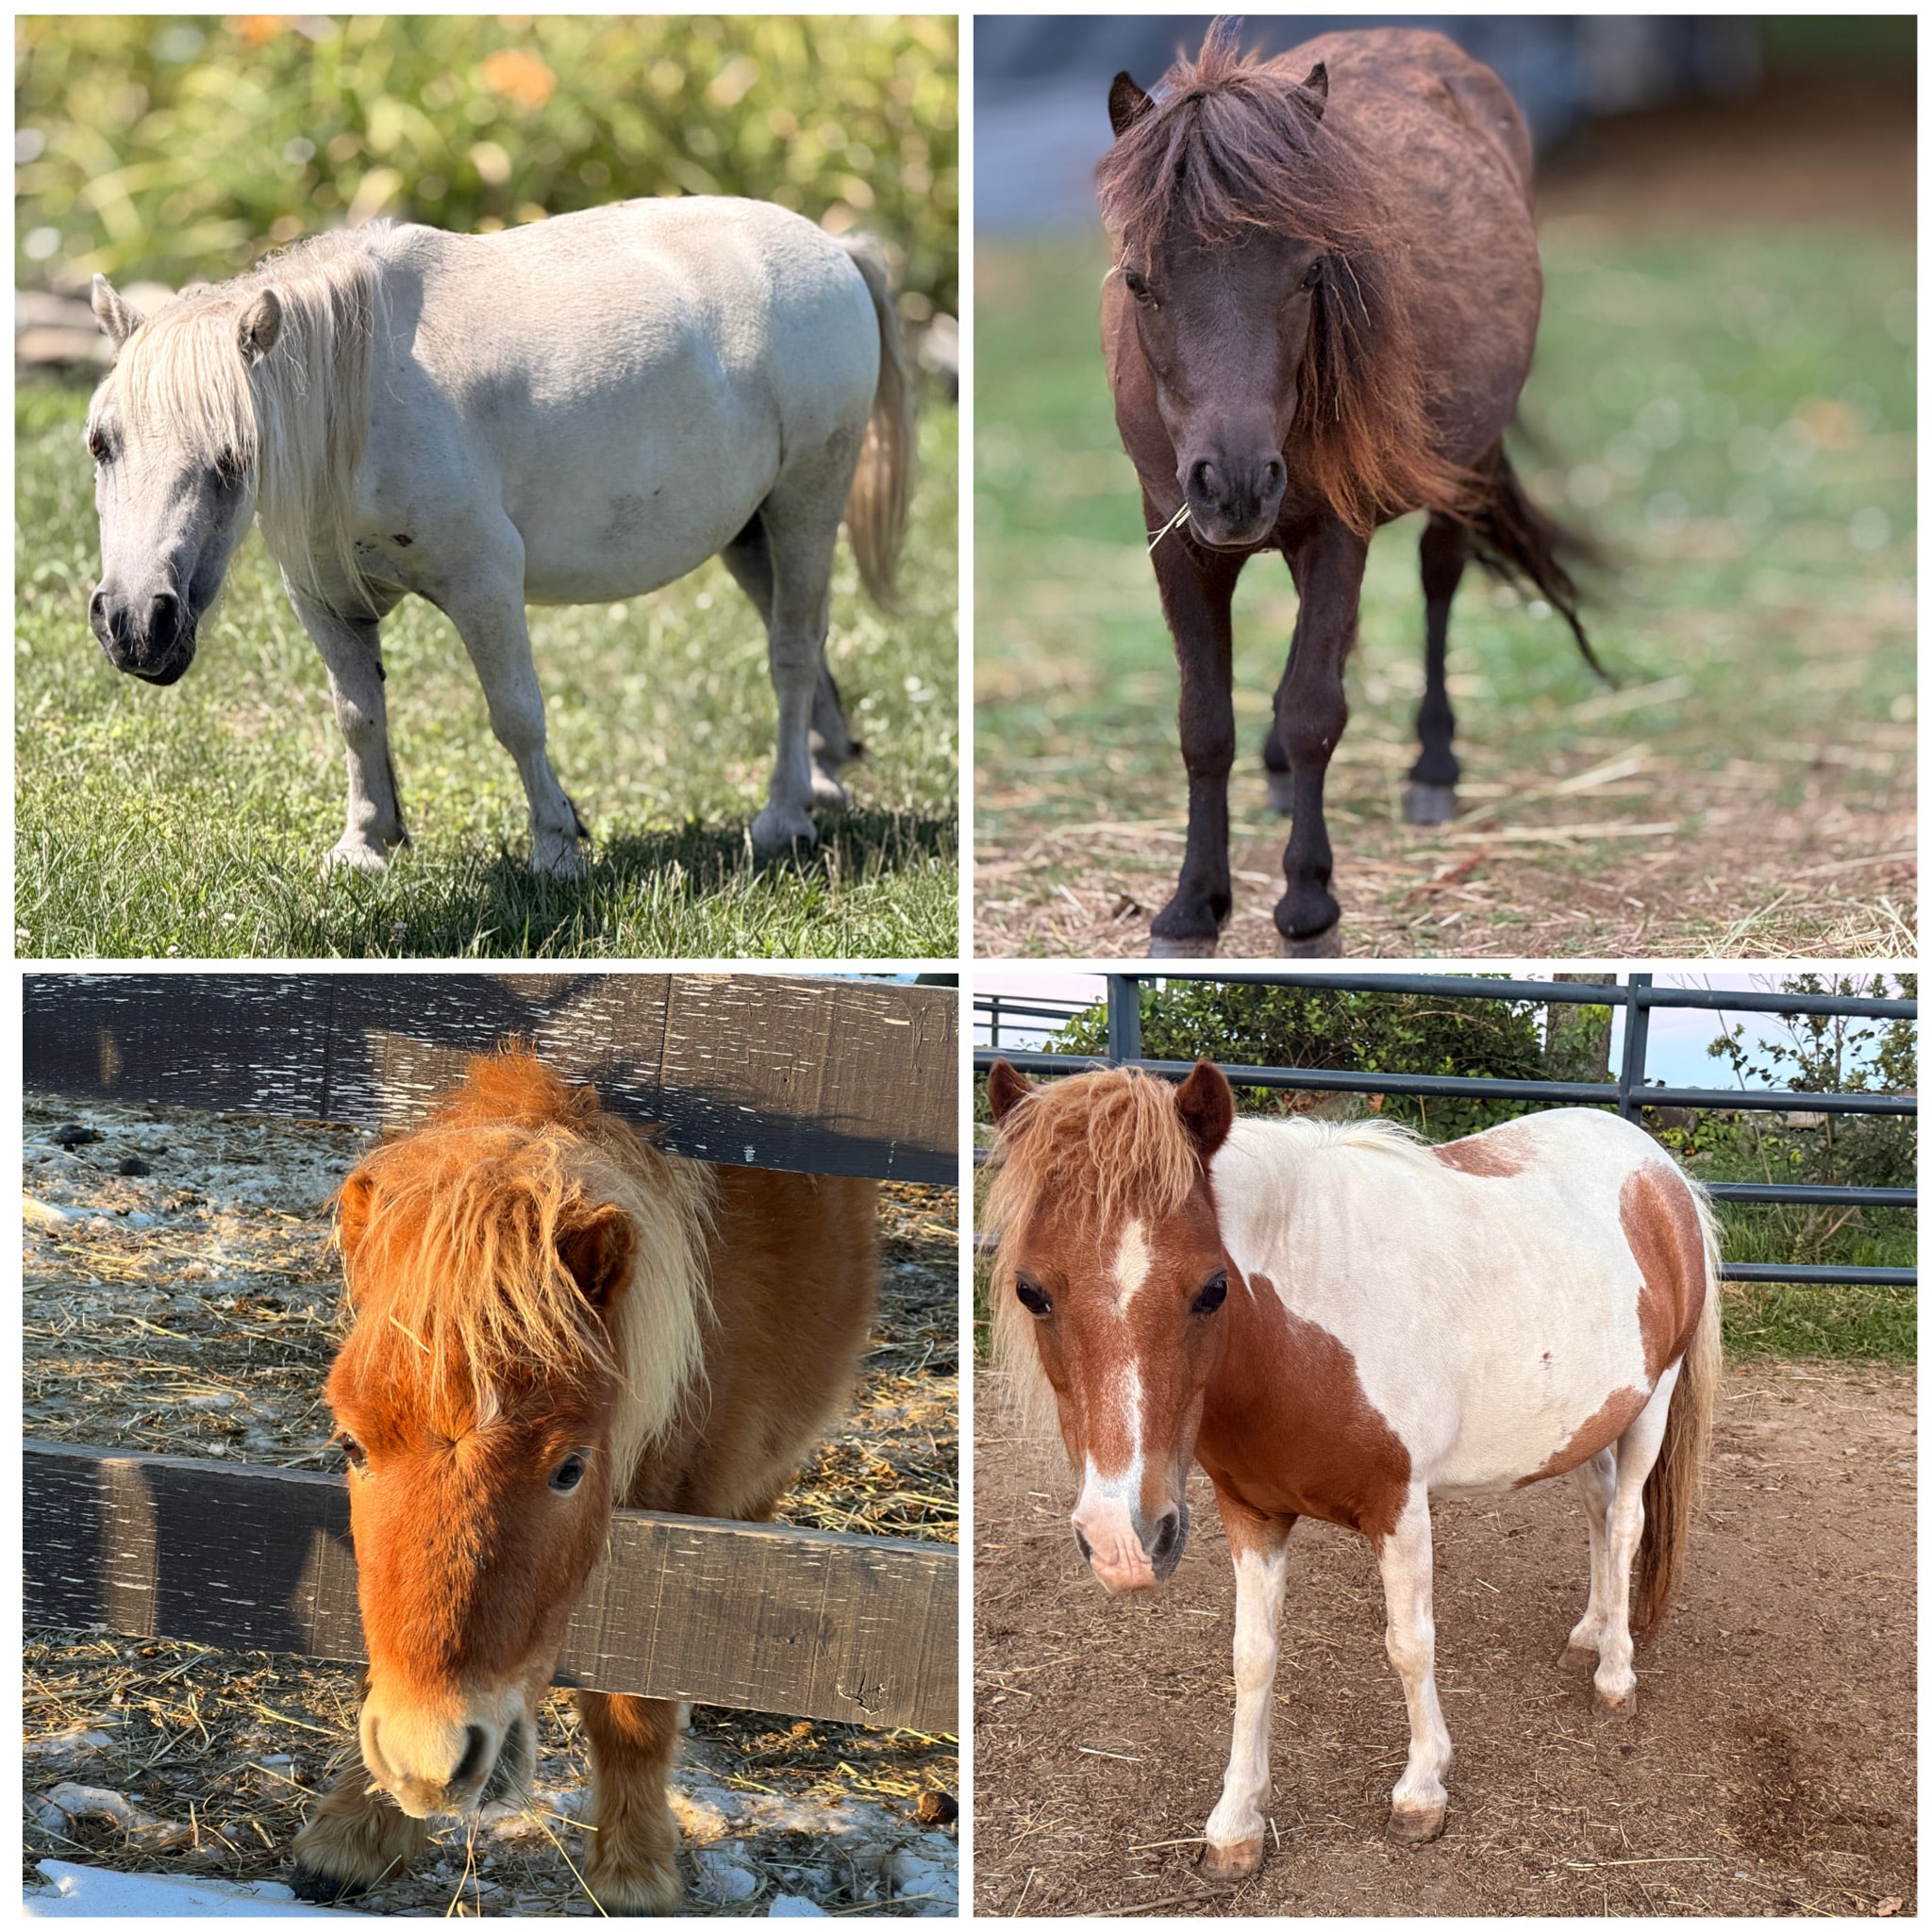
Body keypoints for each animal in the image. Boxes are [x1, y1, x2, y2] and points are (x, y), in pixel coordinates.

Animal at [84, 197, 914, 876]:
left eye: (231, 459)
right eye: (101, 444)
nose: (135, 624)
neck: (366, 404)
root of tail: (833, 248)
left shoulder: (485, 586)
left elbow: (517, 717)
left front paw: (557, 847)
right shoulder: (325, 604)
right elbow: (359, 719)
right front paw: (366, 844)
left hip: (805, 505)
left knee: (793, 652)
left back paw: (784, 816)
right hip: (748, 531)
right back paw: (822, 781)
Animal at [287, 1048, 877, 1912]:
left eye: (569, 1468)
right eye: (354, 1447)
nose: (430, 1758)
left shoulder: (681, 1513)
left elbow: (632, 1706)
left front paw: (634, 1870)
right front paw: (358, 1826)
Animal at [984, 1058, 1720, 1878]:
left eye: (1213, 1287)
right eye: (1031, 1291)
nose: (1123, 1543)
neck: (1298, 1327)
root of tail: (1660, 1173)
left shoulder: (1399, 1507)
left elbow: (1409, 1643)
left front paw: (1421, 1792)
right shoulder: (1251, 1513)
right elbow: (1252, 1657)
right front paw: (1235, 1824)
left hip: (1653, 1402)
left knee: (1625, 1523)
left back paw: (1615, 1676)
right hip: (1588, 1421)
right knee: (1597, 1510)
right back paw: (1590, 1632)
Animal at [1099, 20, 1600, 956]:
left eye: (1307, 273)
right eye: (1140, 281)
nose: (1234, 484)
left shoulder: (1337, 527)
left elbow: (1314, 712)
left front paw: (1307, 906)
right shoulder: (1176, 536)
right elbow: (1202, 723)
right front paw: (1191, 906)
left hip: (1458, 473)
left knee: (1439, 579)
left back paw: (1433, 766)